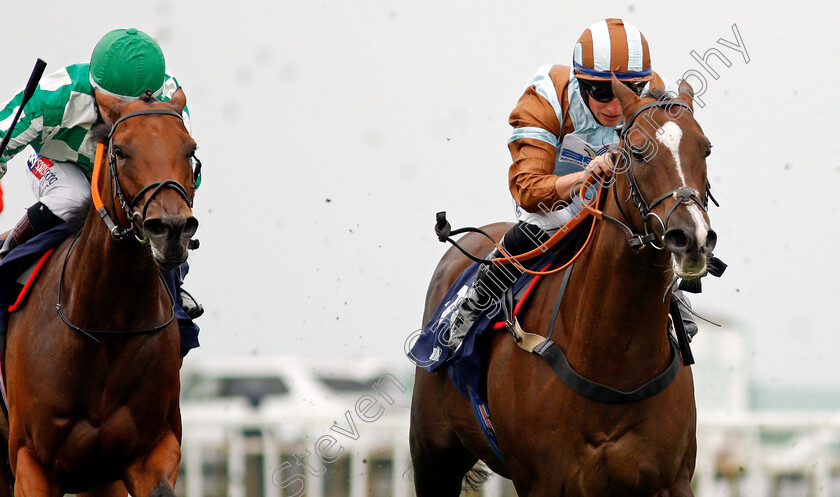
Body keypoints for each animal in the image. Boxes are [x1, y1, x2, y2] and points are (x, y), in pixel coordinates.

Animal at [0, 87, 199, 494]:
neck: (106, 325)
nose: (171, 229)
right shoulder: (30, 461)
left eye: (190, 149)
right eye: (120, 150)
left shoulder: (152, 451)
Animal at [412, 79, 716, 494]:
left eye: (706, 148)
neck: (614, 360)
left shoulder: (672, 478)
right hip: (433, 457)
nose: (692, 238)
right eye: (637, 152)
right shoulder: (544, 481)